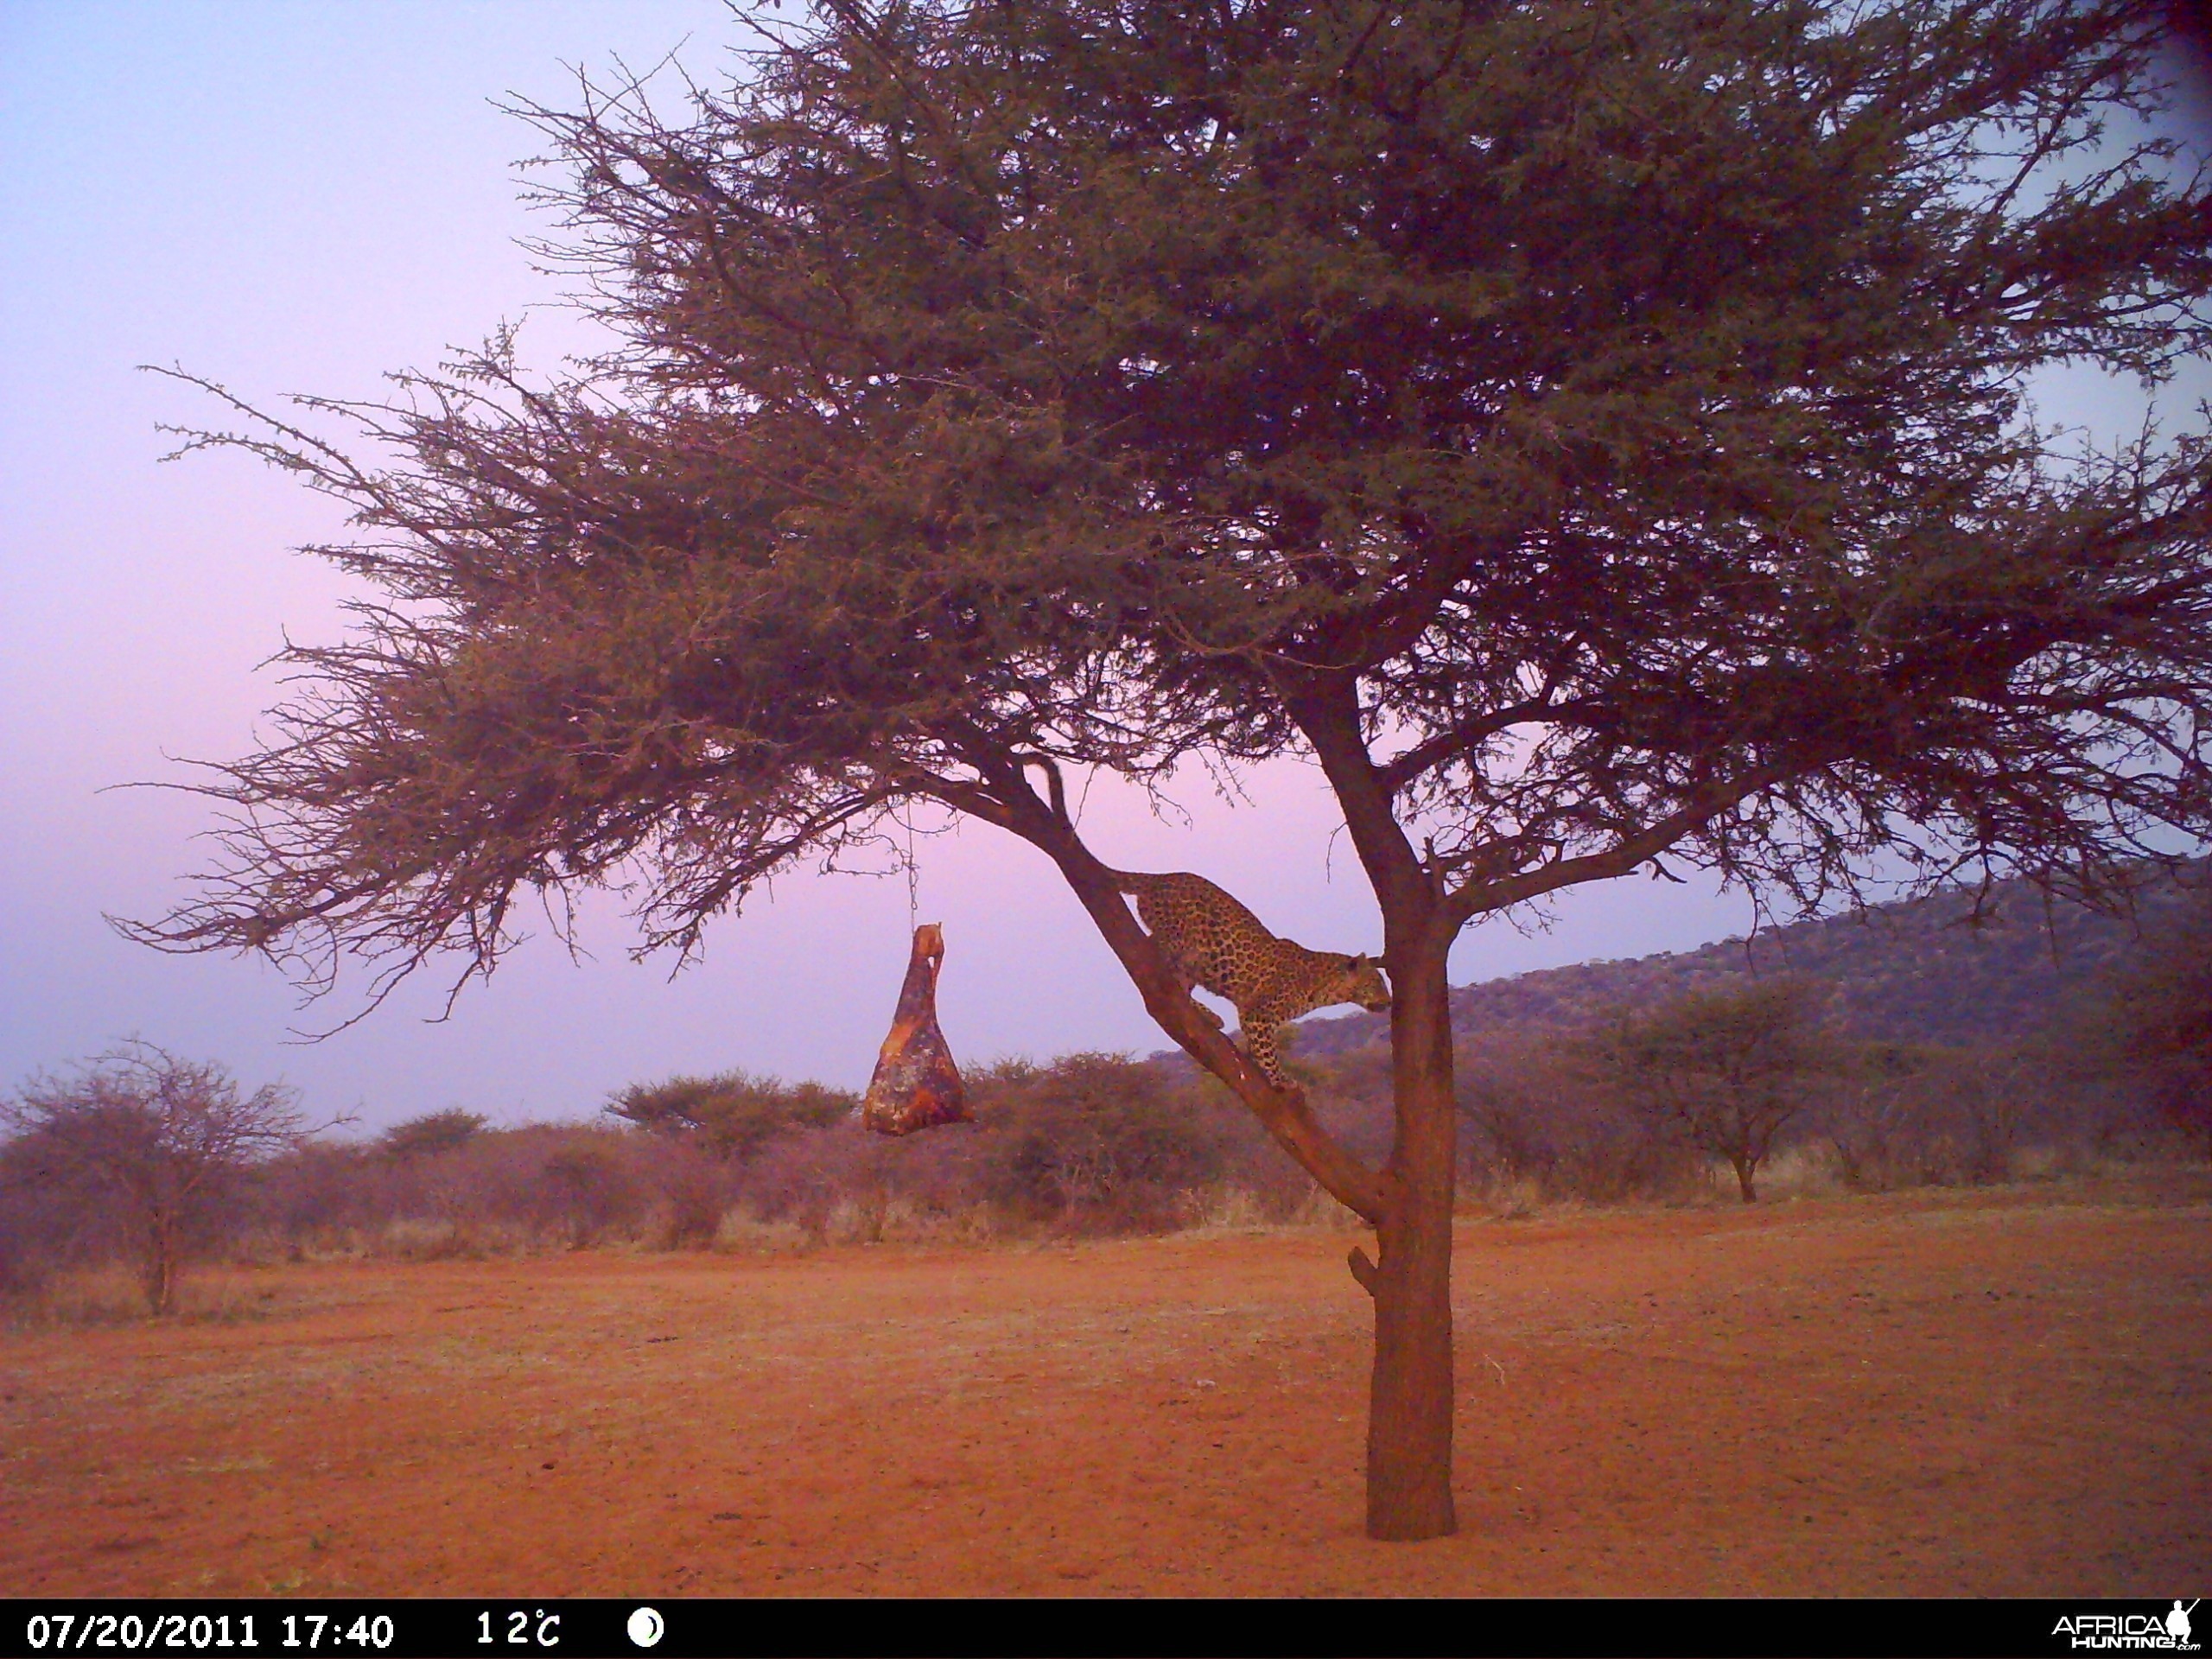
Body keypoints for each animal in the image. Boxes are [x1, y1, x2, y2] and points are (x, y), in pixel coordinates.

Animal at [1115, 871, 1389, 1092]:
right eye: (1376, 982)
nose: (1389, 1001)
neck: (1324, 988)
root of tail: (1160, 877)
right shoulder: (1258, 1013)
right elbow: (1268, 1053)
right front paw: (1281, 1080)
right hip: (1179, 940)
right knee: (1153, 958)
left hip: (1191, 960)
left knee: (1179, 987)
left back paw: (1211, 1016)